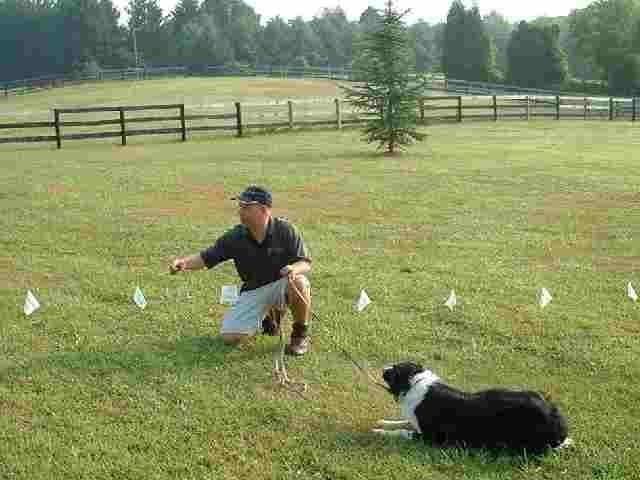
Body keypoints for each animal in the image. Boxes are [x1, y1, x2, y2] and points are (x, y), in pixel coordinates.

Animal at [372, 364, 572, 454]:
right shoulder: (415, 423)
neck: (414, 384)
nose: (382, 368)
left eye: (394, 370)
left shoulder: (430, 437)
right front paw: (383, 422)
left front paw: (380, 432)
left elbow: (402, 431)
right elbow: (402, 422)